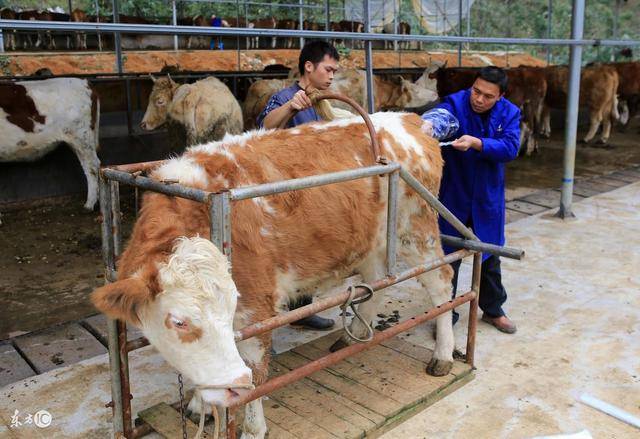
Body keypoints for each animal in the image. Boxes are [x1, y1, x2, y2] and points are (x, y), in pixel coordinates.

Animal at [90, 111, 456, 438]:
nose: (233, 385)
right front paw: (199, 403)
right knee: (376, 284)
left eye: (231, 308)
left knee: (441, 280)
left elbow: (255, 371)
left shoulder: (257, 306)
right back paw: (352, 336)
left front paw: (252, 428)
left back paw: (443, 355)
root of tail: (410, 119)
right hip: (372, 242)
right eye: (179, 321)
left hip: (416, 230)